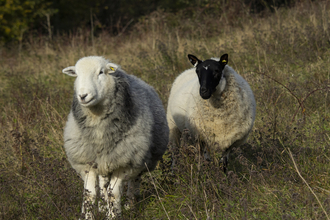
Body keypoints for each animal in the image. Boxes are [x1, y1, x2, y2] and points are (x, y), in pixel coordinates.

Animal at [62, 56, 169, 218]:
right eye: (77, 74)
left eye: (101, 72)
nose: (82, 96)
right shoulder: (88, 162)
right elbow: (89, 195)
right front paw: (90, 215)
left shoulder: (124, 162)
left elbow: (114, 194)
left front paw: (113, 215)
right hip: (104, 161)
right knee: (103, 185)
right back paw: (103, 207)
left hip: (140, 159)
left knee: (134, 181)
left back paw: (130, 205)